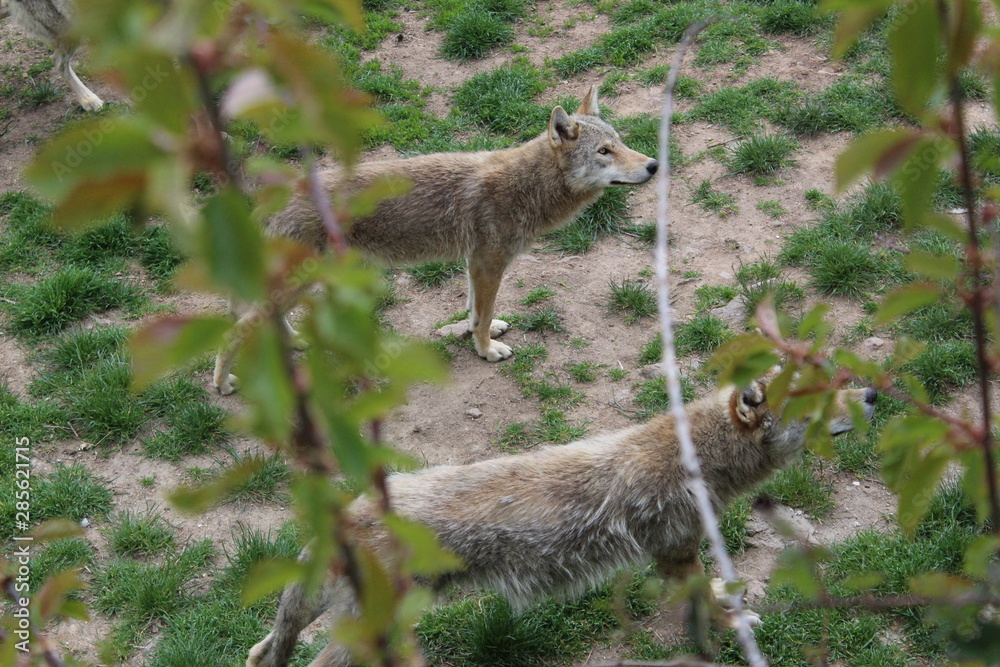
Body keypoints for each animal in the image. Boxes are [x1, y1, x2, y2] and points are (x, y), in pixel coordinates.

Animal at [212, 86, 657, 395]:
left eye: (620, 143)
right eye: (604, 151)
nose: (654, 165)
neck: (527, 186)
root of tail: (266, 198)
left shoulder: (474, 263)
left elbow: (476, 311)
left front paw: (484, 332)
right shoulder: (489, 264)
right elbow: (480, 315)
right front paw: (486, 352)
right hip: (298, 283)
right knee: (236, 331)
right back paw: (222, 383)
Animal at [246, 376, 878, 666]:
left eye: (838, 375)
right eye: (819, 397)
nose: (873, 393)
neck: (700, 455)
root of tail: (344, 514)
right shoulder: (675, 554)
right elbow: (710, 603)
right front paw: (732, 625)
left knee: (260, 651)